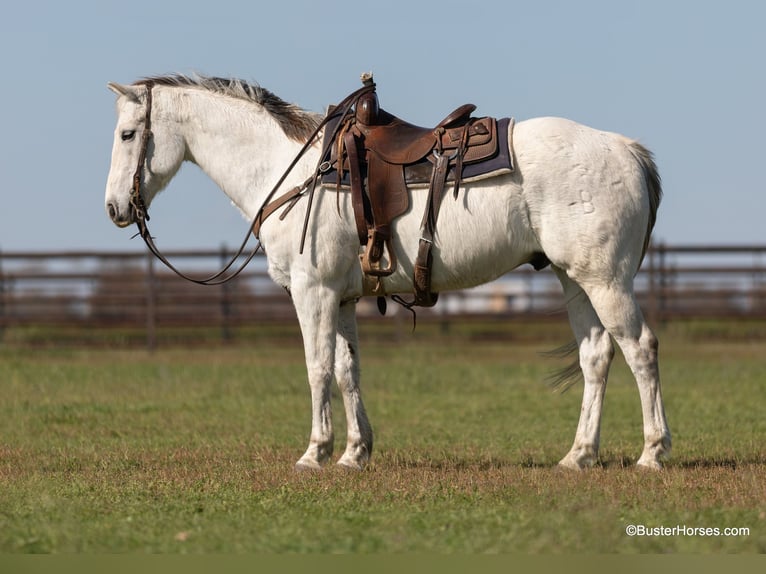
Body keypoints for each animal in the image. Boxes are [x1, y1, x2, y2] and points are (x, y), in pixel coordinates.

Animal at [106, 75, 672, 472]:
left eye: (128, 133)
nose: (114, 208)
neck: (291, 170)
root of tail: (626, 148)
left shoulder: (312, 293)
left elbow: (316, 367)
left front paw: (315, 452)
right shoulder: (341, 298)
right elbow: (346, 369)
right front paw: (355, 453)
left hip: (606, 280)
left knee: (640, 349)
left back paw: (652, 452)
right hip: (574, 279)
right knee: (596, 356)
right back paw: (579, 456)